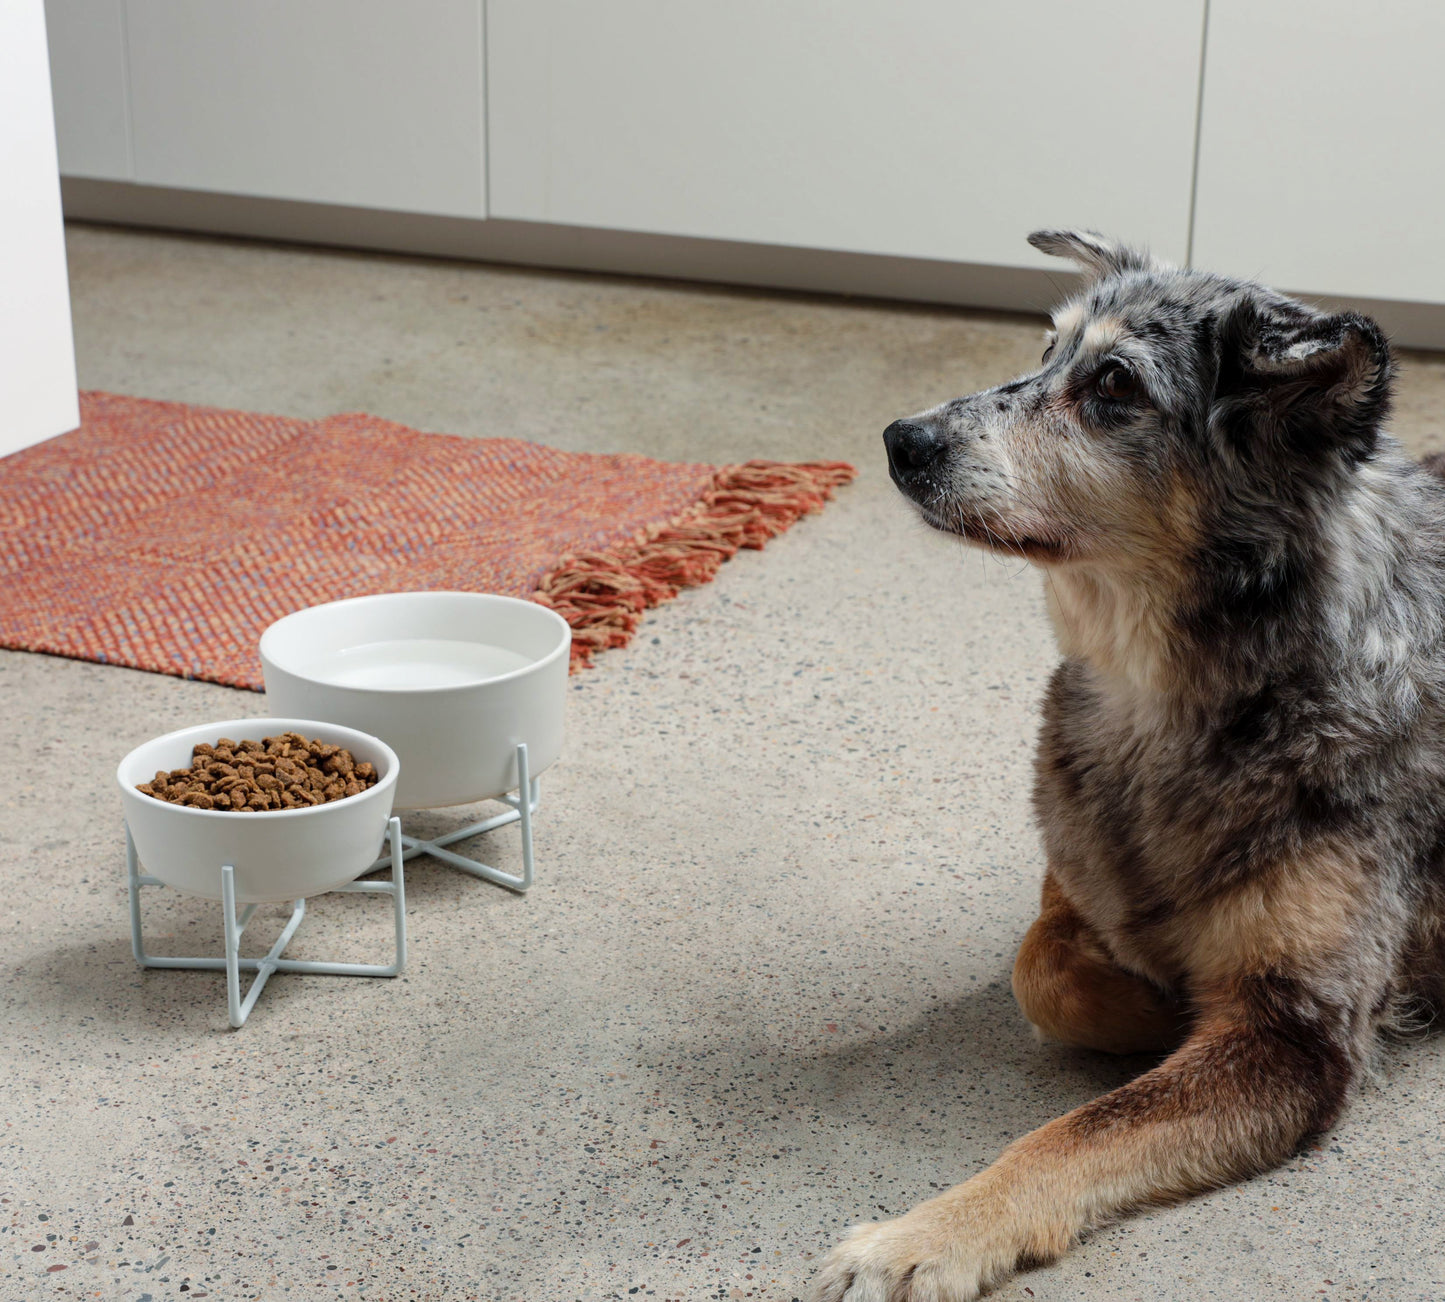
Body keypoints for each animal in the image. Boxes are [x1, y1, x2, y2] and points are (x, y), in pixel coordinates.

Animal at [809, 231, 1445, 1300]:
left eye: (1113, 385)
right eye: (1046, 349)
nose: (902, 439)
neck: (1165, 703)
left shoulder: (1295, 1034)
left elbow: (1071, 1133)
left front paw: (919, 1238)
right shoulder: (1070, 879)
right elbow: (1041, 969)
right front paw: (1151, 1005)